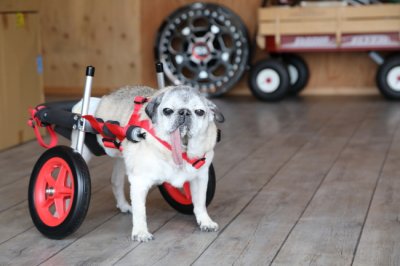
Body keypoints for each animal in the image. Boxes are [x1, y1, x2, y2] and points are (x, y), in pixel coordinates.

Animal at [70, 84, 223, 241]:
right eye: (167, 111)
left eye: (199, 112)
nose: (184, 112)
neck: (180, 148)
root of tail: (99, 101)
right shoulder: (140, 182)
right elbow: (140, 211)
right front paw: (140, 232)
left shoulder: (200, 179)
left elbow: (200, 203)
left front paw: (205, 221)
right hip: (83, 149)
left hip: (122, 158)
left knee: (116, 181)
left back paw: (123, 205)